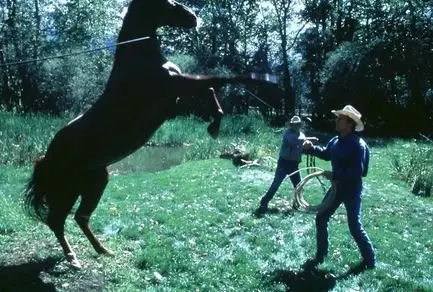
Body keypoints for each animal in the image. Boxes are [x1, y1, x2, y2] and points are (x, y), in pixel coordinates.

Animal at [23, 0, 276, 270]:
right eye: (168, 3)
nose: (194, 18)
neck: (139, 60)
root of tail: (47, 156)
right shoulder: (175, 90)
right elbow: (220, 79)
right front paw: (263, 80)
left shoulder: (175, 103)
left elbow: (209, 89)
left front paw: (214, 126)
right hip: (69, 189)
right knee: (57, 221)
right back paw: (73, 259)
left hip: (95, 182)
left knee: (80, 218)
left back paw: (103, 250)